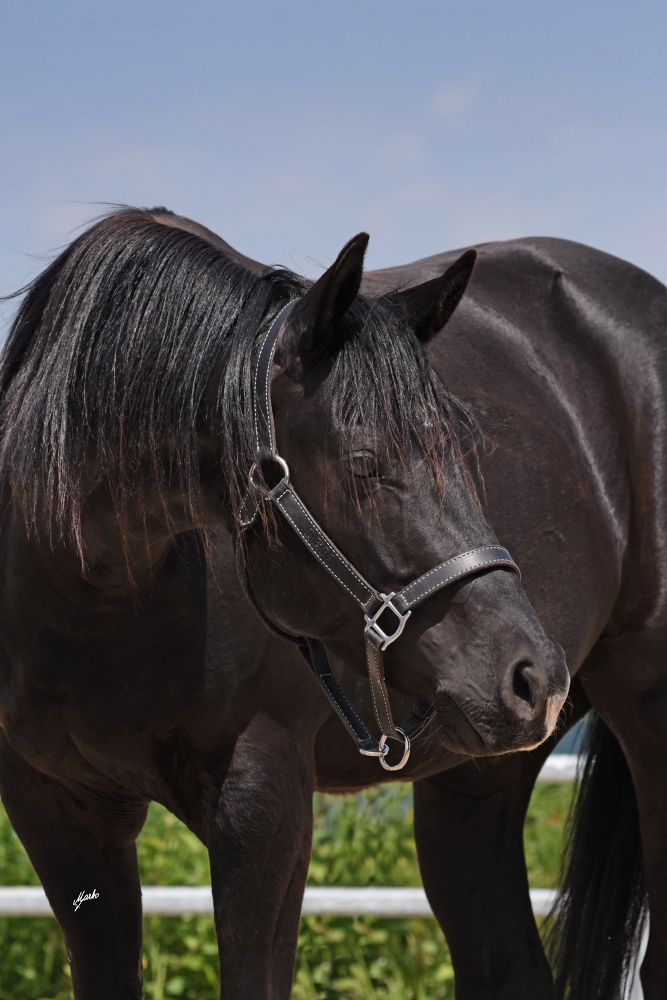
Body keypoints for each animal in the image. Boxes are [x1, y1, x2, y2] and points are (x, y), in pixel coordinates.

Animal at [0, 209, 568, 1000]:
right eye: (364, 464)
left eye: (465, 448)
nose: (535, 679)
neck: (90, 599)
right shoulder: (57, 812)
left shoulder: (264, 806)